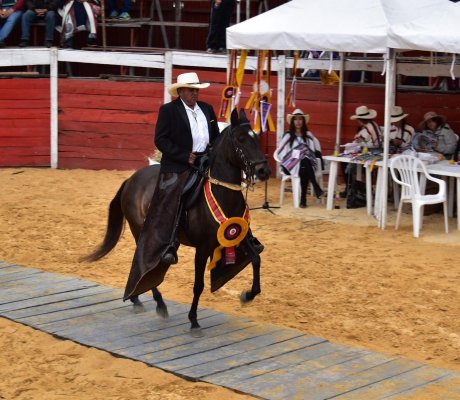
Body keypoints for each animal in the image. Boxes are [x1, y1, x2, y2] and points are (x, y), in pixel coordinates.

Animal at [82, 108, 270, 334]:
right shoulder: (203, 248)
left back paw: (138, 299)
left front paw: (247, 295)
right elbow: (198, 285)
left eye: (256, 138)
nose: (263, 171)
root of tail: (131, 180)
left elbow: (256, 259)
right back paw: (157, 304)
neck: (222, 192)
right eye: (241, 139)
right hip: (139, 230)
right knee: (144, 262)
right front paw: (194, 321)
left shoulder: (238, 236)